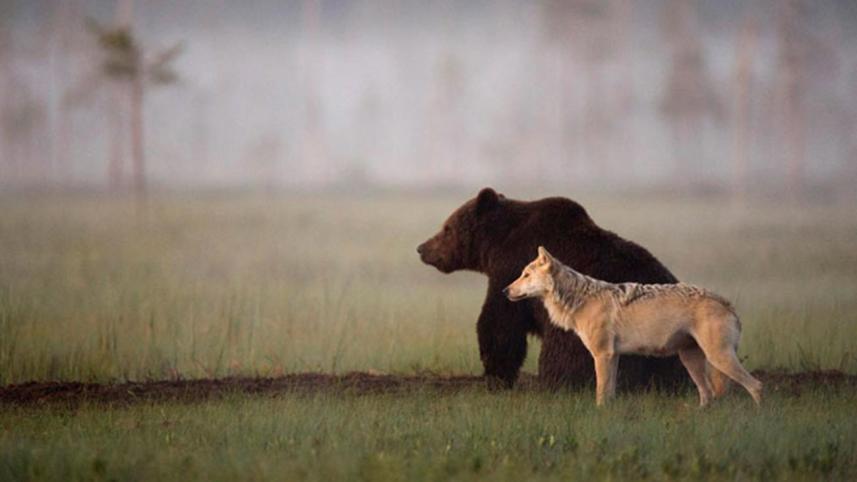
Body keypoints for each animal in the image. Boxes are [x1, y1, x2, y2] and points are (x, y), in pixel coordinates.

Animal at [417, 187, 688, 390]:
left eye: (447, 228)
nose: (422, 248)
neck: (497, 243)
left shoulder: (511, 268)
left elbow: (500, 322)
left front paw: (495, 375)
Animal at [505, 247, 762, 407]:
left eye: (525, 275)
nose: (505, 291)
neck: (580, 300)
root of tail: (727, 303)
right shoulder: (613, 356)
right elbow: (609, 393)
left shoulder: (602, 355)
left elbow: (601, 393)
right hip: (692, 360)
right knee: (708, 395)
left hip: (718, 358)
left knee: (756, 386)